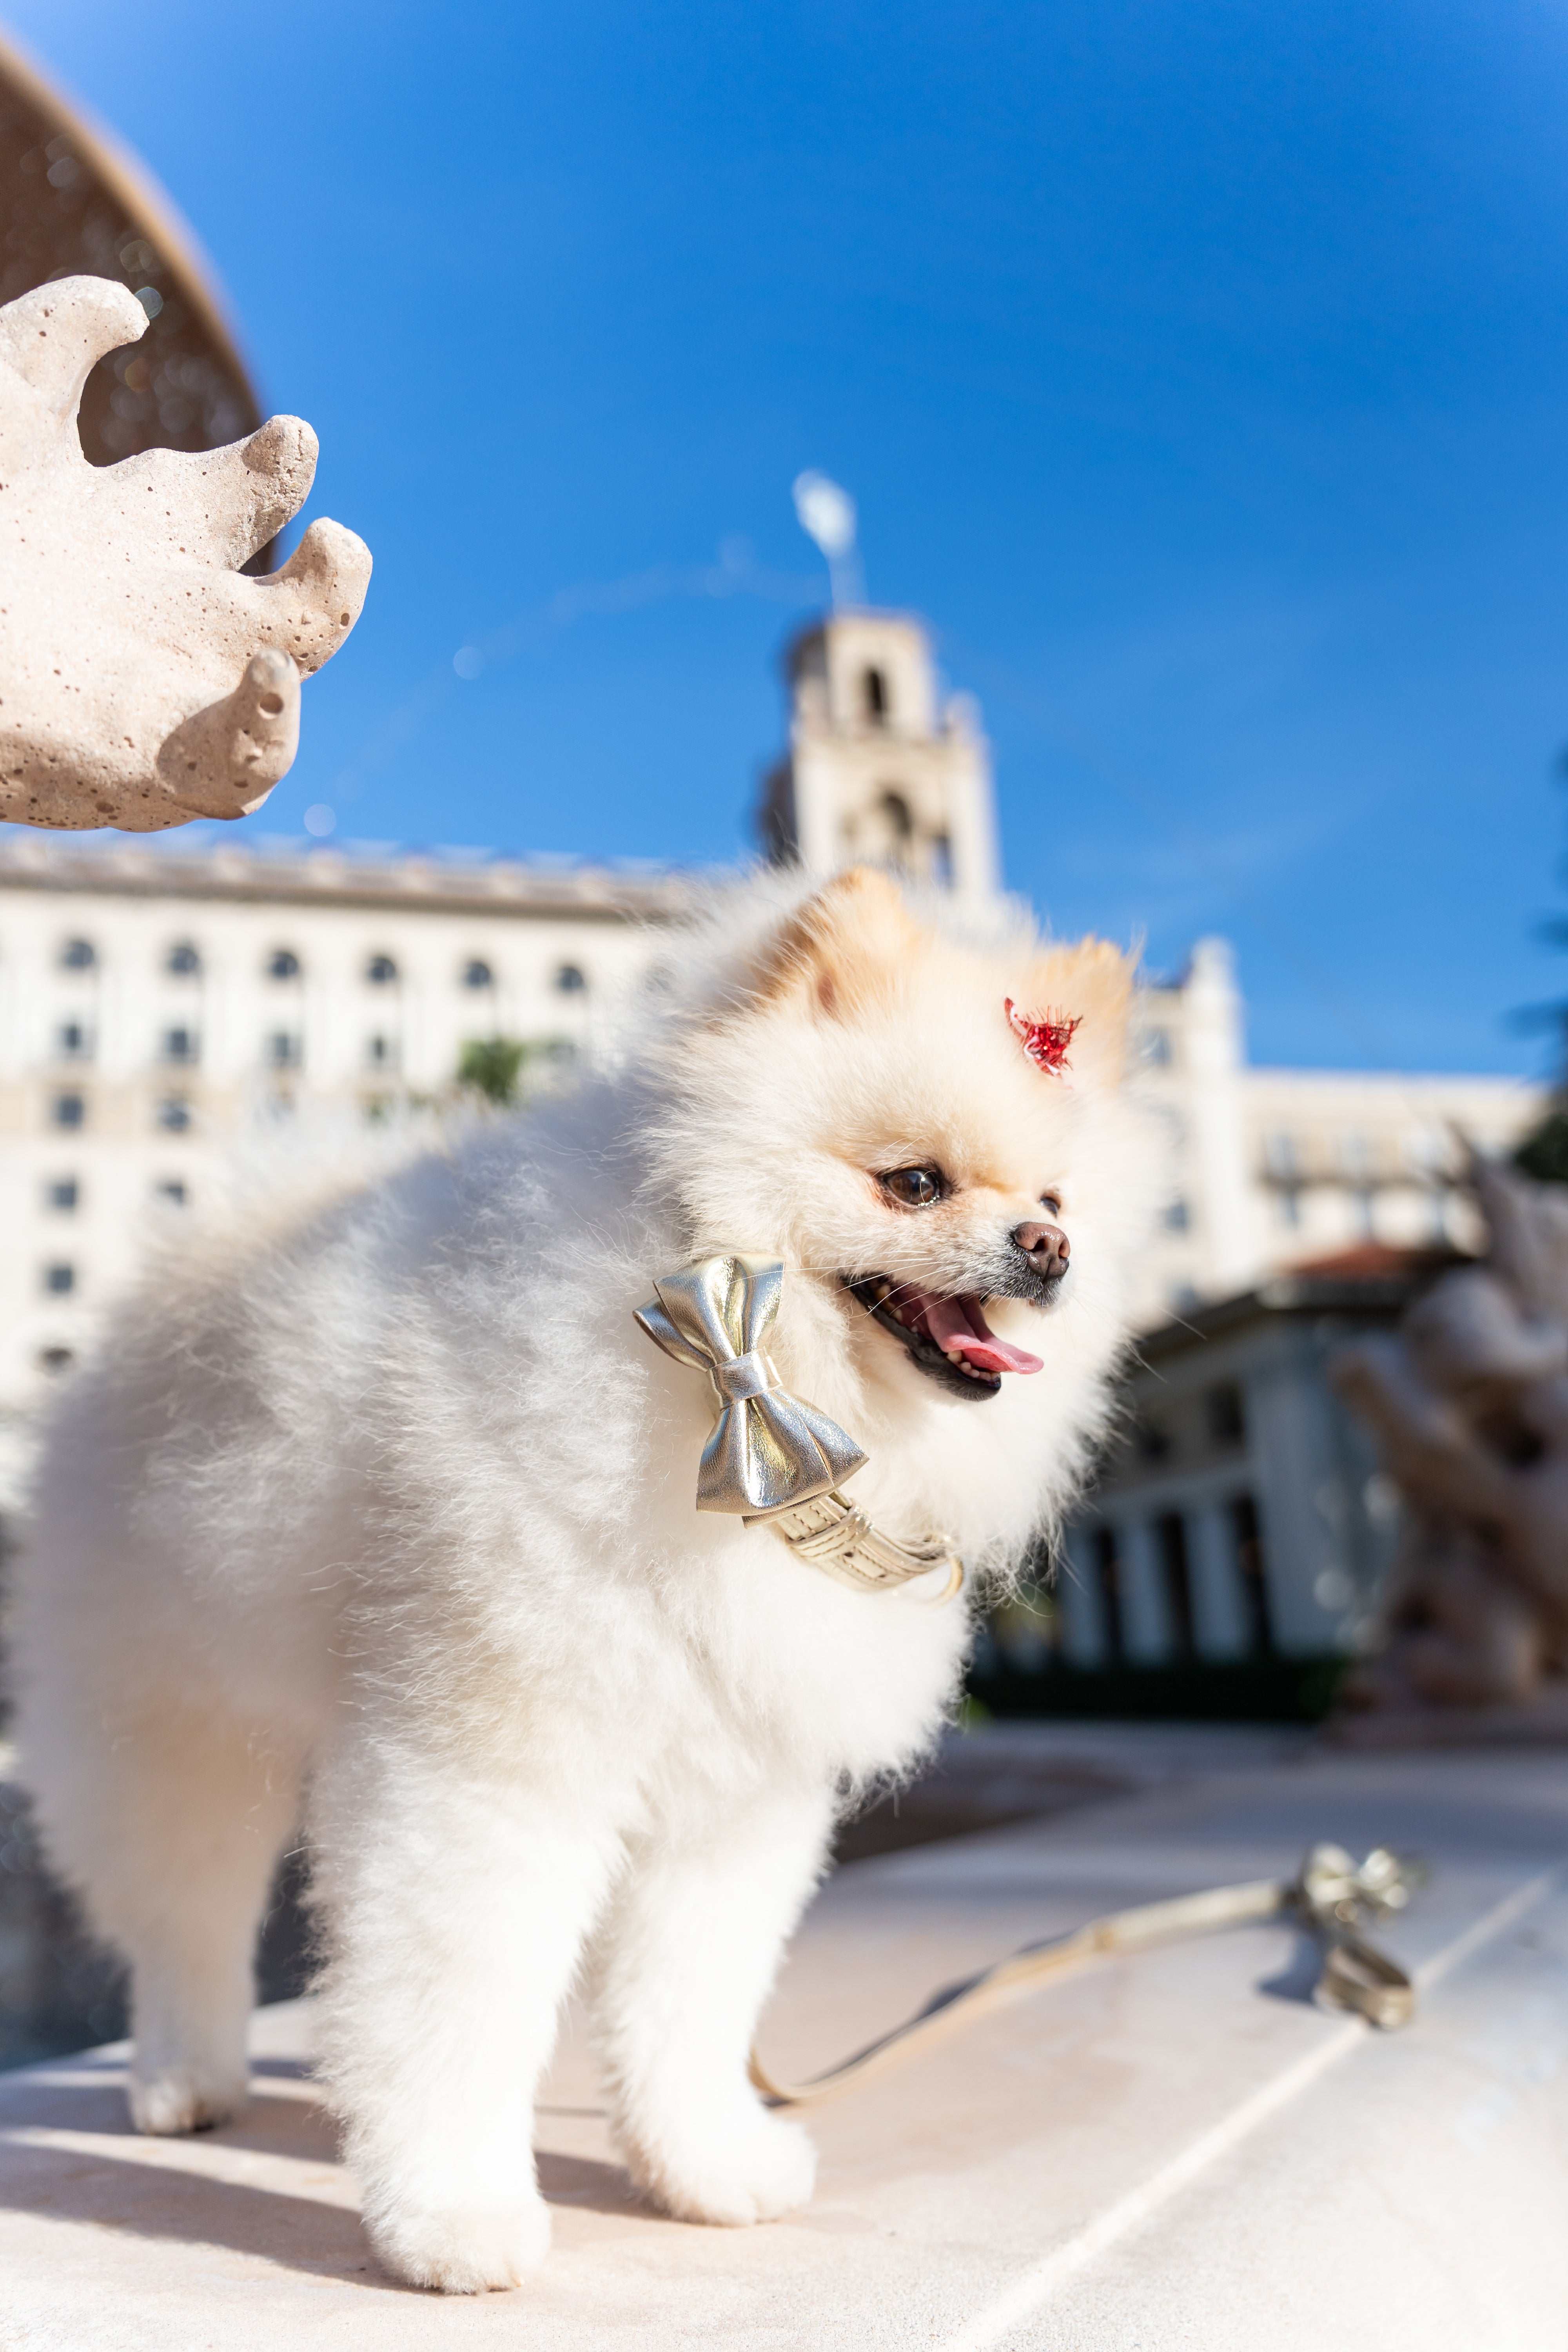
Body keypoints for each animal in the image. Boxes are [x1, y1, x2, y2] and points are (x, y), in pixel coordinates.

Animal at [9, 870, 1152, 2296]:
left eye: (1056, 1197)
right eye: (915, 1182)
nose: (1046, 1245)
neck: (751, 1398)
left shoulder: (732, 1791)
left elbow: (692, 2005)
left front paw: (704, 2168)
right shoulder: (492, 1772)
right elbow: (461, 2009)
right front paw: (454, 2218)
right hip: (169, 1728)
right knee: (184, 1922)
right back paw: (184, 2079)